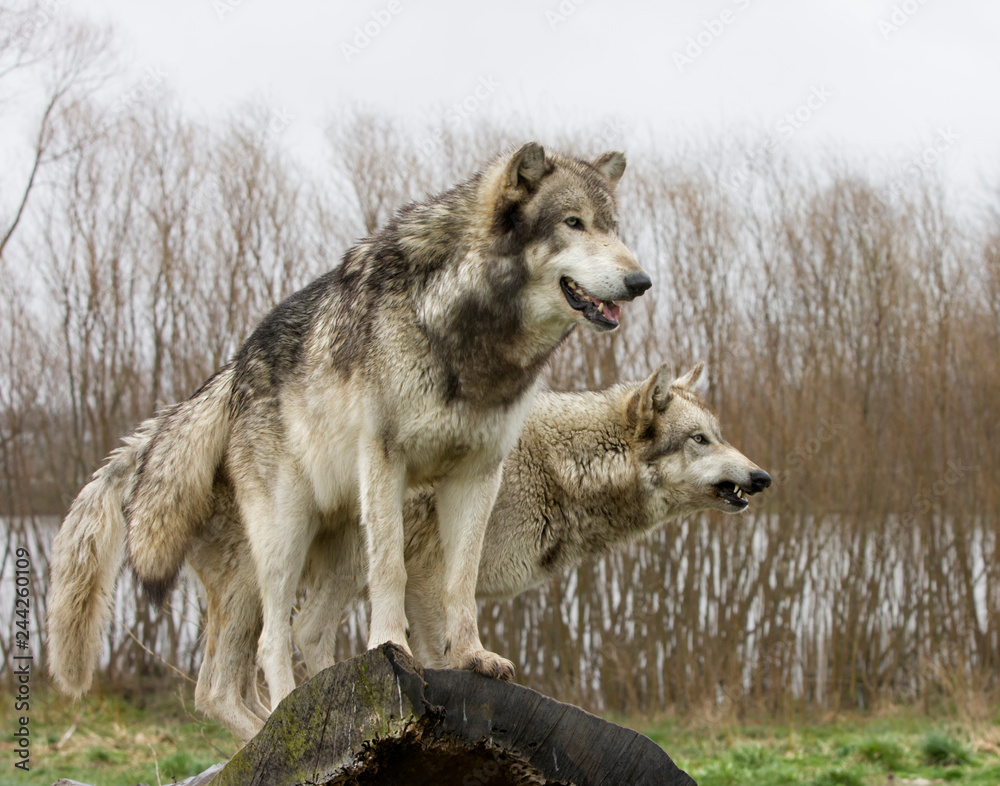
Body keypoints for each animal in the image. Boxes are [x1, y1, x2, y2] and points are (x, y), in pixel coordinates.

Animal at [47, 143, 651, 711]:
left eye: (614, 227)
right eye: (573, 222)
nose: (641, 280)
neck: (465, 330)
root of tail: (231, 371)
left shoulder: (479, 474)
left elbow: (461, 583)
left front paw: (472, 656)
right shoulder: (386, 459)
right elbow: (392, 572)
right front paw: (391, 647)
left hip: (336, 544)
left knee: (304, 632)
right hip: (282, 538)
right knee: (268, 643)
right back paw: (282, 710)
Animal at [167, 362, 771, 739]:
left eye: (719, 435)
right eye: (700, 440)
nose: (762, 477)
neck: (561, 467)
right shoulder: (428, 577)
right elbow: (440, 657)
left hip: (334, 573)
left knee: (277, 651)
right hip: (283, 574)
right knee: (222, 686)